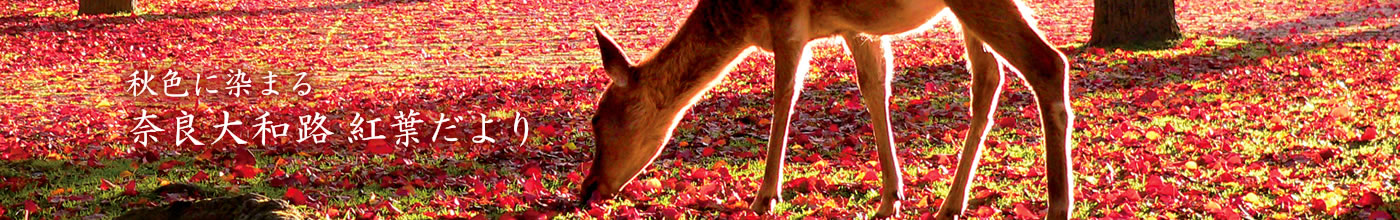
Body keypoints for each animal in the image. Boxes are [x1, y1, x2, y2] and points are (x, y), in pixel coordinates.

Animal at [576, 0, 1069, 217]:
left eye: (597, 119)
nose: (588, 188)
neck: (740, 21)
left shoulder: (788, 22)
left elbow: (784, 95)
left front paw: (764, 196)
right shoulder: (855, 27)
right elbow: (874, 90)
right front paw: (891, 197)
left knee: (1047, 64)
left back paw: (1058, 206)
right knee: (989, 78)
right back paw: (950, 204)